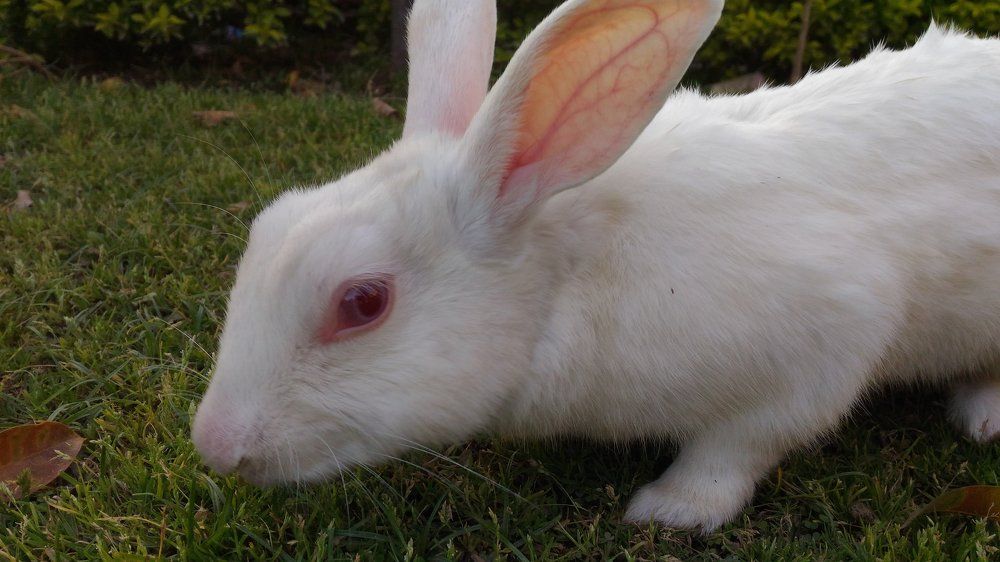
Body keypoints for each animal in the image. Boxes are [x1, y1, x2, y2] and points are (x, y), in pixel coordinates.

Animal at [191, 0, 1000, 531]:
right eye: (265, 230)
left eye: (362, 302)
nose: (215, 444)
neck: (573, 278)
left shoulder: (825, 344)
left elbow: (740, 447)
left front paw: (670, 511)